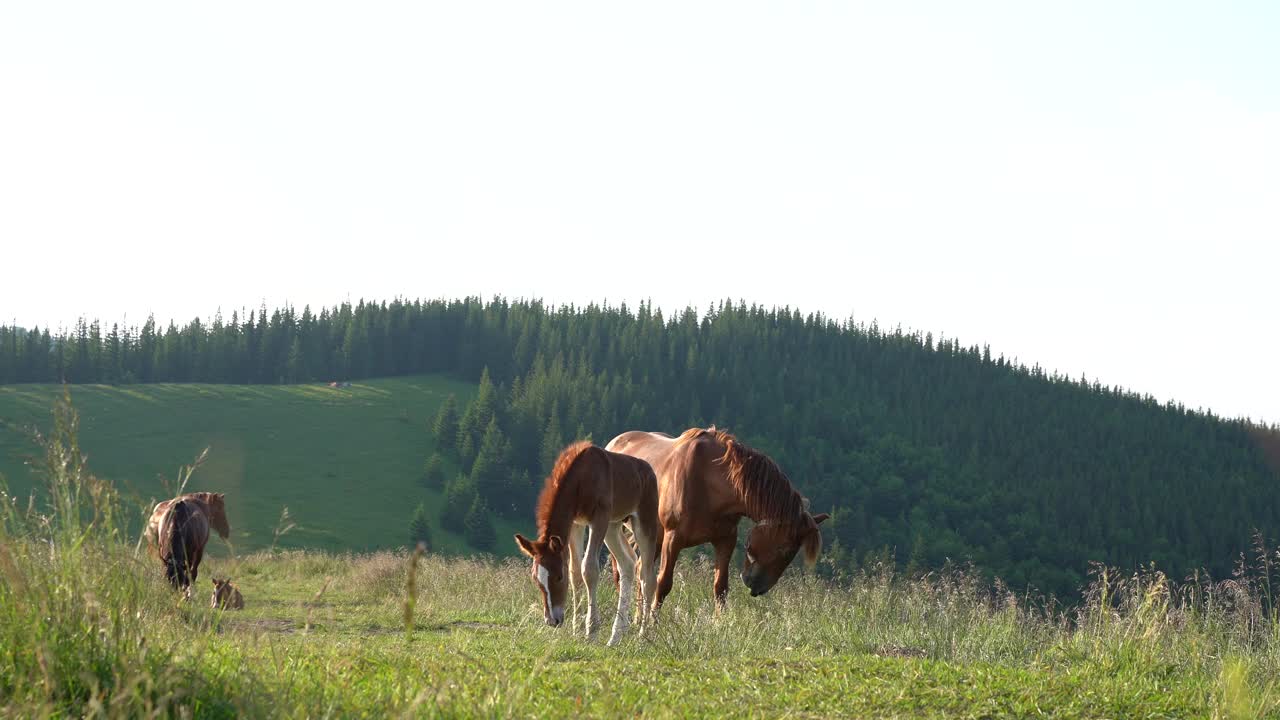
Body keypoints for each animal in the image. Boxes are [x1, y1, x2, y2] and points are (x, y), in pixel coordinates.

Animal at [514, 440, 665, 640]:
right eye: (536, 579)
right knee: (627, 564)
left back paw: (643, 635)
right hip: (613, 526)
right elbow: (576, 571)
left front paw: (591, 629)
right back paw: (616, 635)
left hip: (643, 522)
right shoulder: (576, 523)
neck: (581, 477)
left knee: (647, 577)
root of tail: (648, 470)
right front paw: (576, 628)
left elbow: (589, 569)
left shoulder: (598, 518)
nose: (552, 620)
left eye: (558, 577)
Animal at [606, 427, 834, 607]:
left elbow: (720, 589)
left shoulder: (726, 540)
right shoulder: (673, 539)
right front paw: (653, 627)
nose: (758, 587)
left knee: (640, 571)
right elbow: (663, 585)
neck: (708, 481)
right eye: (784, 550)